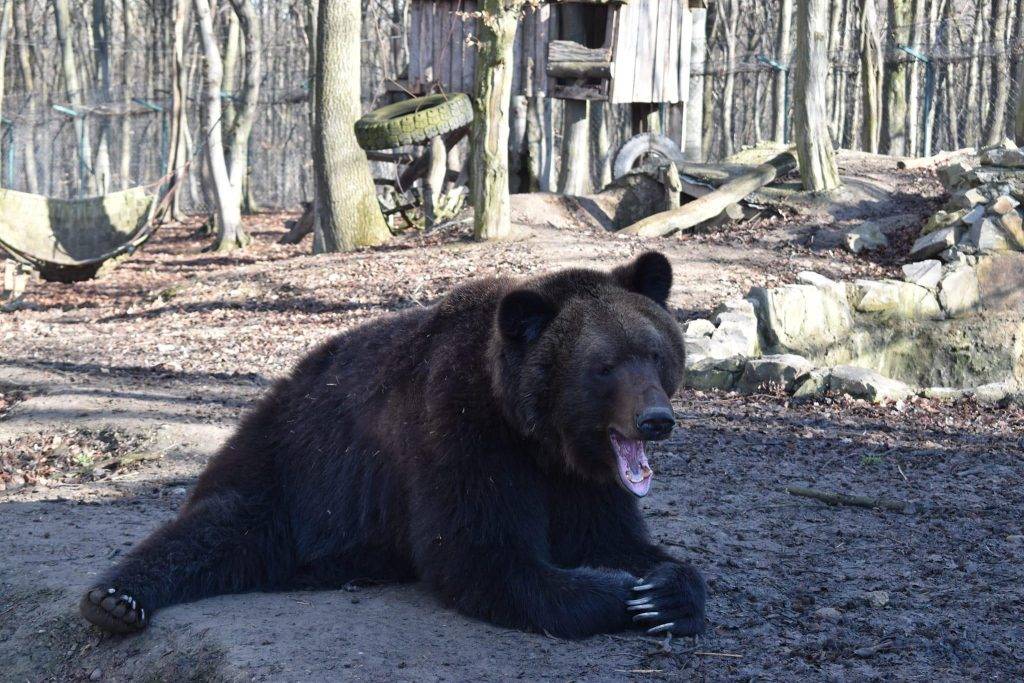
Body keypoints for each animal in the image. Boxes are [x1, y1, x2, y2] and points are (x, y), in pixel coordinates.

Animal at [79, 250, 704, 643]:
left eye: (655, 353)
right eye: (604, 366)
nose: (655, 420)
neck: (535, 434)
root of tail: (277, 389)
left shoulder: (583, 479)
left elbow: (615, 538)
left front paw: (664, 592)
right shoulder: (460, 431)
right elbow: (485, 555)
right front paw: (621, 593)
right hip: (289, 469)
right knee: (216, 530)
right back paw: (116, 600)